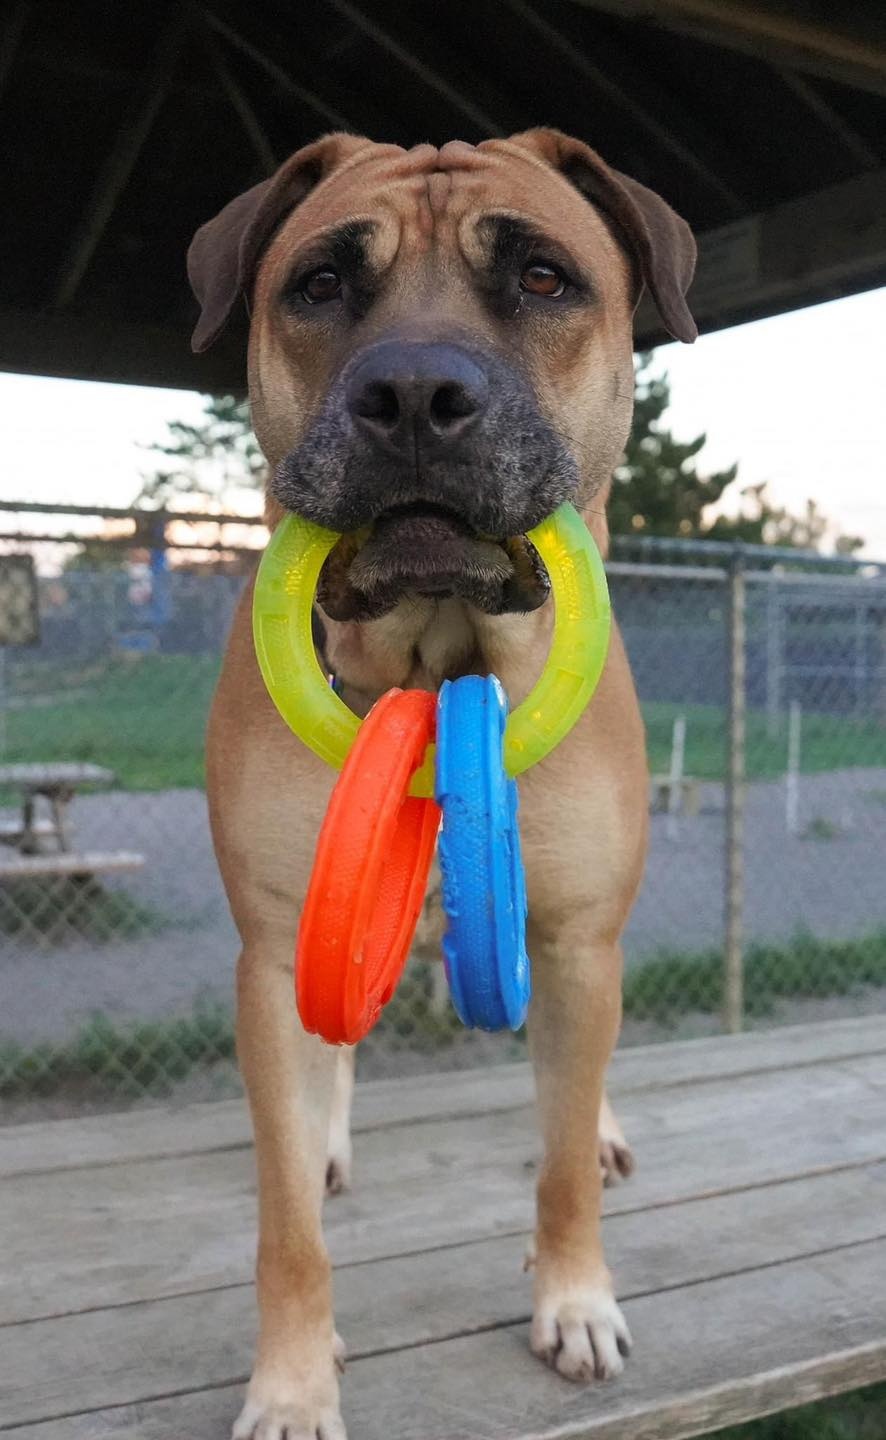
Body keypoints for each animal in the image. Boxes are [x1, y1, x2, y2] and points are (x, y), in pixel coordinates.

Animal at [190, 132, 697, 1440]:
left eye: (543, 277)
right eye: (319, 283)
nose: (414, 395)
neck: (434, 658)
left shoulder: (571, 938)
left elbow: (561, 1164)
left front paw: (574, 1302)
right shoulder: (276, 947)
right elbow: (285, 1225)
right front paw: (291, 1383)